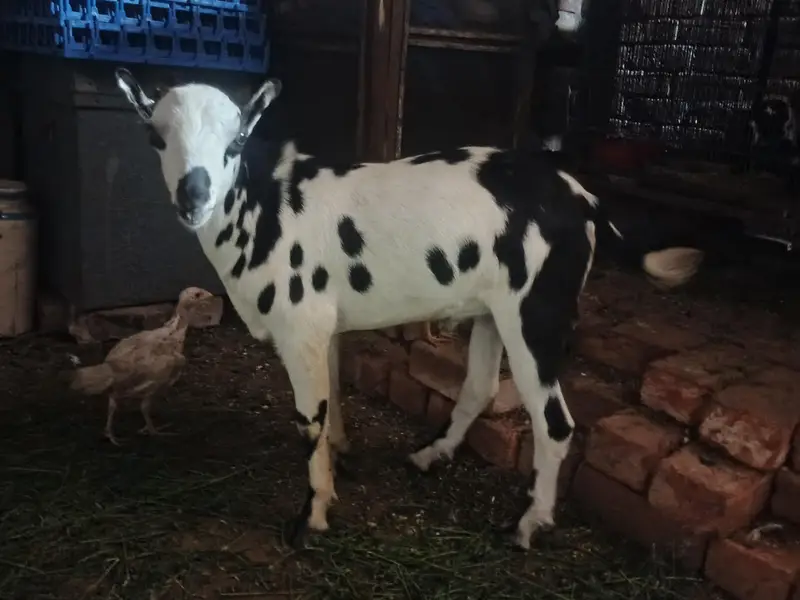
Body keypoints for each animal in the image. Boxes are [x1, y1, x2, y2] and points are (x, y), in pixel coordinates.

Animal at [114, 68, 704, 550]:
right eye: (155, 136)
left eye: (237, 139)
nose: (193, 197)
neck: (266, 208)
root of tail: (584, 198)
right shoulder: (325, 328)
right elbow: (335, 394)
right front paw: (343, 456)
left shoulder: (299, 326)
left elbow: (310, 419)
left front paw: (314, 515)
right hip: (493, 310)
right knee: (480, 388)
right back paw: (430, 455)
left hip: (536, 311)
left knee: (554, 423)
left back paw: (529, 524)